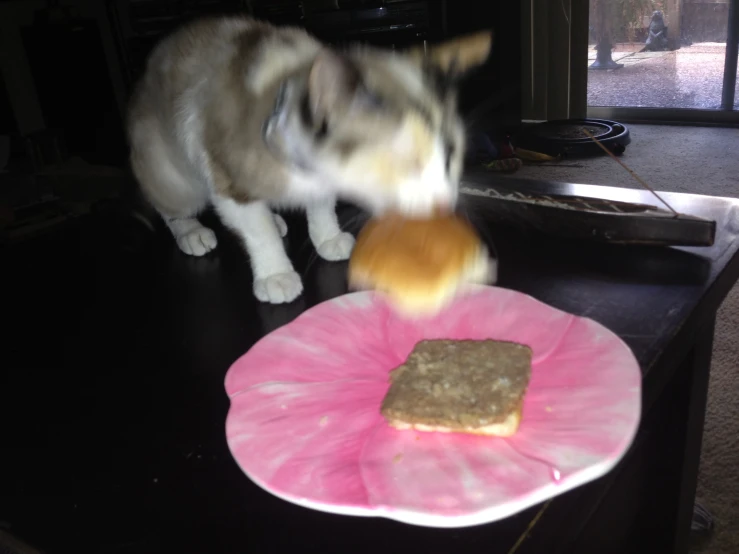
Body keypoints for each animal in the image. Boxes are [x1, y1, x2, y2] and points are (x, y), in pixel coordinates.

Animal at [129, 14, 492, 302]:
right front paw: (275, 274)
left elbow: (320, 205)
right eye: (407, 164)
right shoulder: (227, 177)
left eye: (451, 158)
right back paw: (191, 232)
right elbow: (258, 231)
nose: (444, 204)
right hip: (172, 170)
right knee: (170, 204)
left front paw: (327, 237)